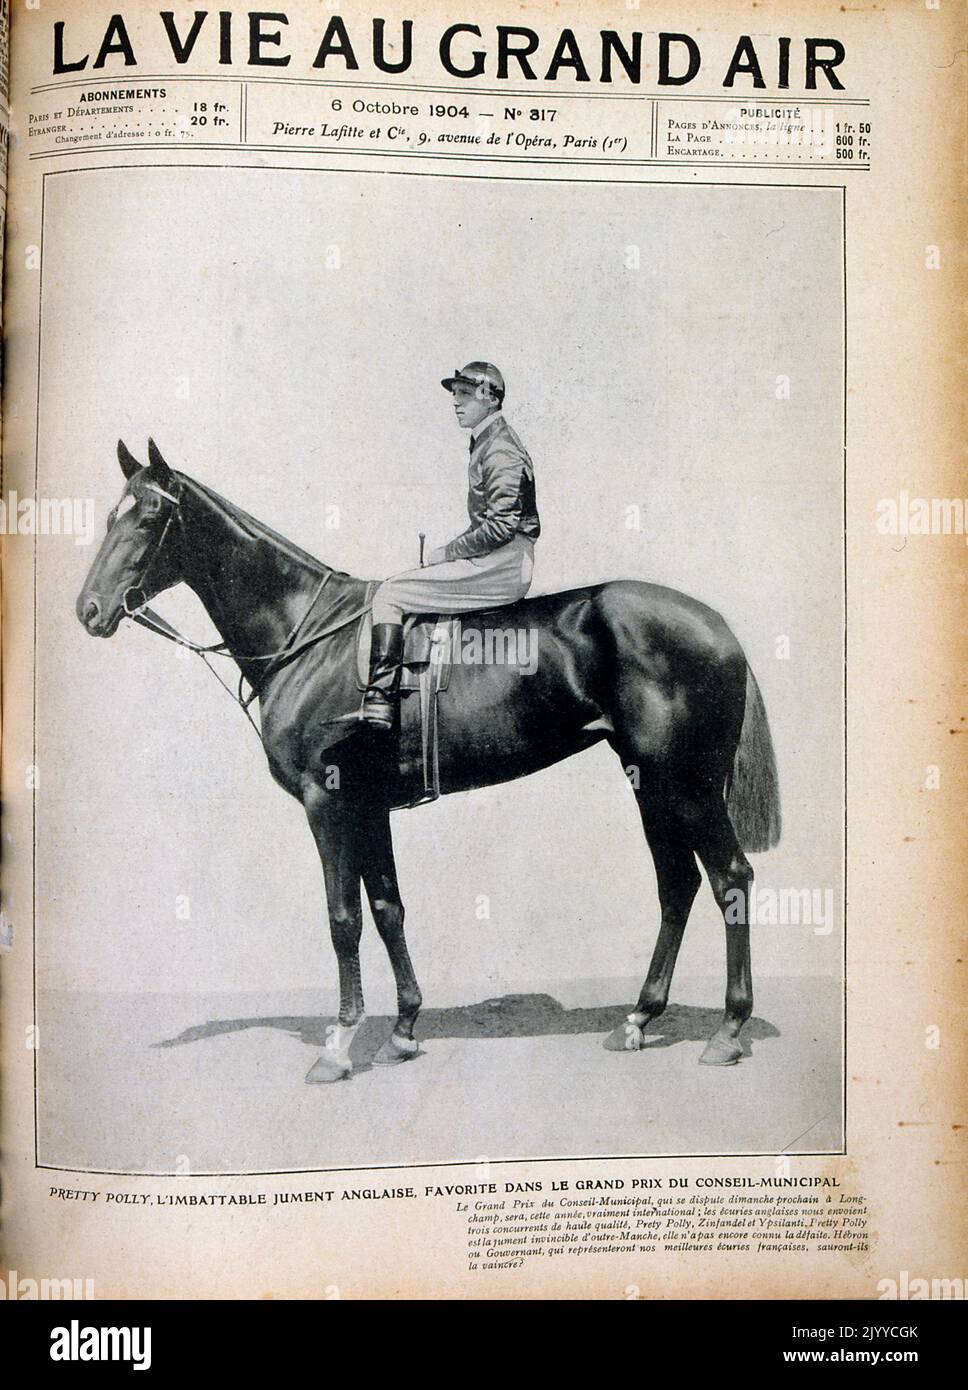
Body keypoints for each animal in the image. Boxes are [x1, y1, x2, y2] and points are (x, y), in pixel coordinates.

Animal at [76, 440, 781, 1083]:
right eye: (112, 515)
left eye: (147, 517)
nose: (88, 611)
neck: (312, 637)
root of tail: (718, 625)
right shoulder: (368, 808)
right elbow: (388, 908)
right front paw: (404, 1029)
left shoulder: (327, 802)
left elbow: (342, 919)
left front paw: (339, 1044)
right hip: (650, 783)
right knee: (677, 884)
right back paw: (639, 1018)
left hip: (686, 785)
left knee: (730, 878)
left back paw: (727, 1030)